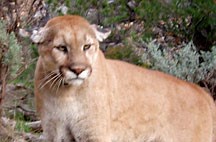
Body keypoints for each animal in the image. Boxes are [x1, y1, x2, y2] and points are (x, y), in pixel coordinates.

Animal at [31, 15, 215, 141]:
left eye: (87, 46)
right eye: (61, 48)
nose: (78, 69)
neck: (65, 94)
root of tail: (203, 93)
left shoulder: (93, 133)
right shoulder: (54, 132)